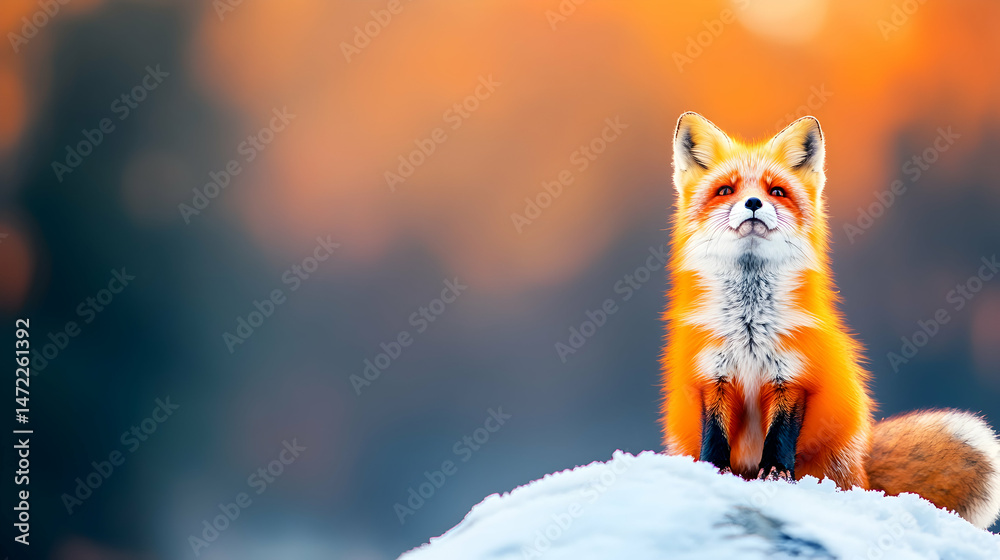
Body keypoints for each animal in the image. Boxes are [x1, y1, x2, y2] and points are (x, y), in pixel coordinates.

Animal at [659, 111, 1000, 530]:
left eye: (777, 191)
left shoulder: (792, 378)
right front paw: (714, 473)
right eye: (726, 190)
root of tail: (863, 467)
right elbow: (715, 436)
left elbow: (780, 438)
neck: (750, 327)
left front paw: (776, 475)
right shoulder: (713, 376)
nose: (753, 202)